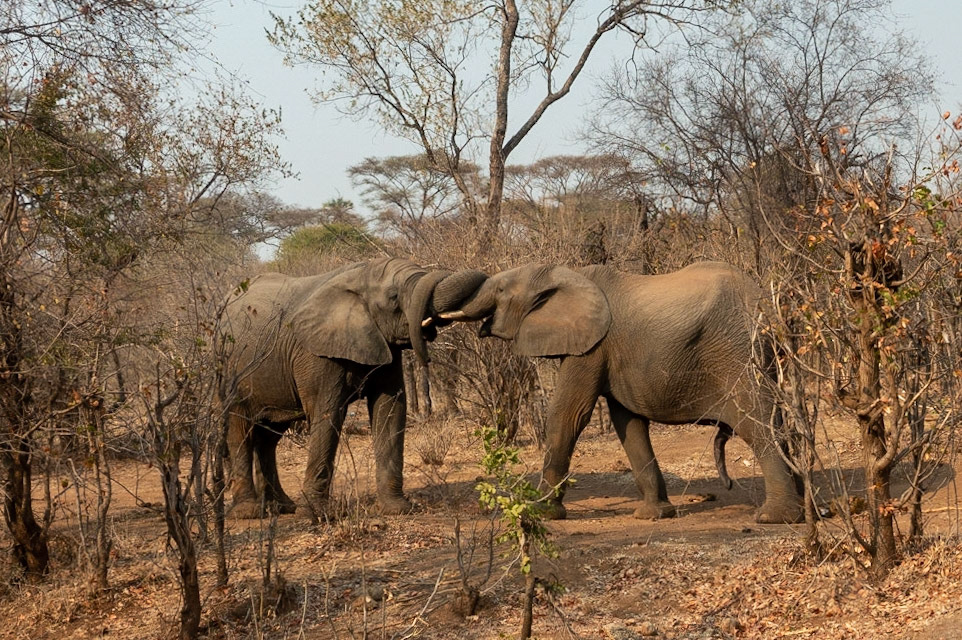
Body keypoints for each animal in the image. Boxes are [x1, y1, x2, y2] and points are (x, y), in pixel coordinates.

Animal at [218, 257, 486, 519]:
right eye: (393, 297)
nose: (427, 355)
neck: (361, 275)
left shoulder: (382, 343)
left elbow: (390, 411)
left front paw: (397, 509)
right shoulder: (317, 354)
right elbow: (328, 416)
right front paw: (316, 515)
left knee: (269, 437)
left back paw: (283, 507)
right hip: (229, 370)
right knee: (240, 429)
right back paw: (249, 512)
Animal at [441, 261, 803, 524]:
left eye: (501, 290)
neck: (564, 273)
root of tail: (771, 307)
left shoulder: (590, 349)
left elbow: (569, 414)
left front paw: (542, 513)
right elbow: (628, 423)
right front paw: (654, 516)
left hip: (739, 353)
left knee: (758, 425)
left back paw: (775, 518)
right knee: (782, 425)